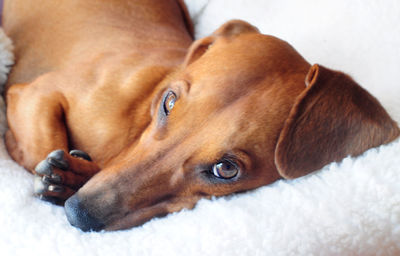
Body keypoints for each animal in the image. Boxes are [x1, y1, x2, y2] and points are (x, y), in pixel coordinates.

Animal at [2, 0, 396, 232]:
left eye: (226, 169)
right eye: (169, 102)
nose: (78, 213)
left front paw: (70, 175)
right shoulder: (33, 94)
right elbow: (41, 144)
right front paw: (55, 170)